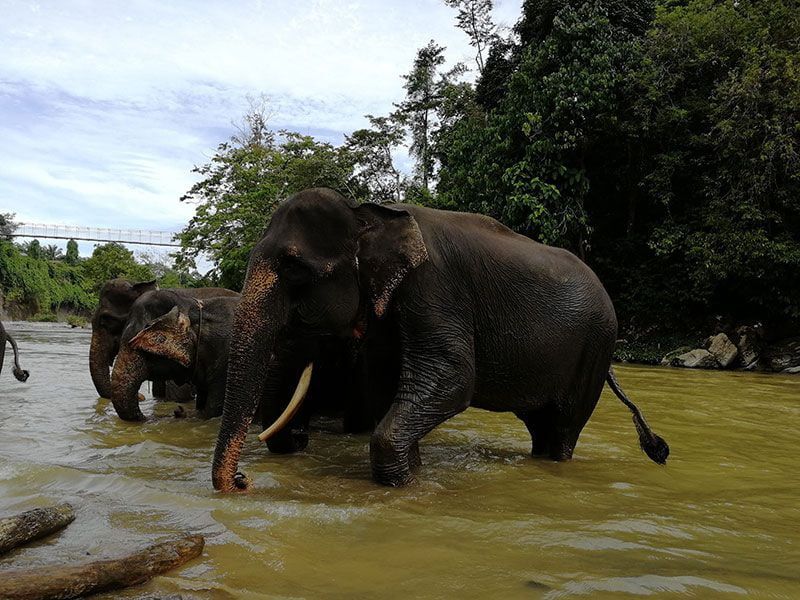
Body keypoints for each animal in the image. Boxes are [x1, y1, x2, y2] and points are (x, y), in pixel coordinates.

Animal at [212, 188, 669, 491]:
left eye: (295, 270)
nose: (243, 479)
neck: (367, 212)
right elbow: (387, 386)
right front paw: (412, 475)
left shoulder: (434, 286)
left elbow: (452, 377)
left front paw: (402, 483)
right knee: (541, 426)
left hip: (595, 347)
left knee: (561, 429)